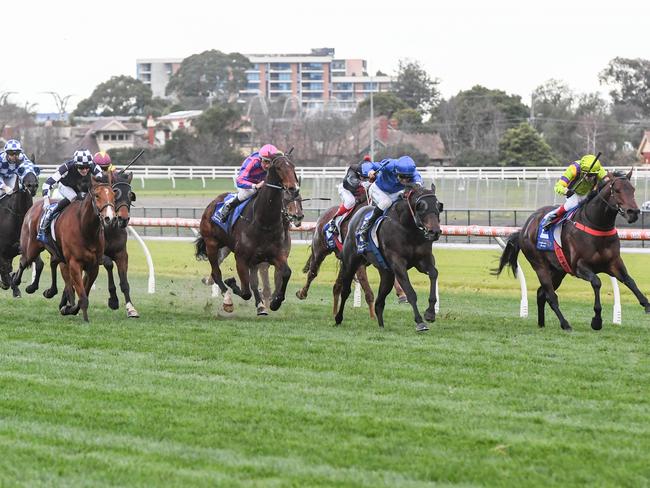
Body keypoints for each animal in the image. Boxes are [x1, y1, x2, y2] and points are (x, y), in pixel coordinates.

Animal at [13, 179, 117, 320]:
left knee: (52, 264)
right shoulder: (74, 263)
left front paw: (68, 308)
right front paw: (83, 318)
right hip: (31, 248)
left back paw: (48, 290)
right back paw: (16, 281)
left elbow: (83, 292)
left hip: (57, 253)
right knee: (24, 262)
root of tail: (34, 206)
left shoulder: (93, 266)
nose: (110, 218)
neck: (85, 229)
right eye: (97, 196)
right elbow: (81, 295)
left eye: (113, 195)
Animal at [195, 152, 298, 312]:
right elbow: (245, 292)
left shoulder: (276, 255)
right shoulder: (241, 258)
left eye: (293, 166)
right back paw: (228, 299)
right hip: (211, 244)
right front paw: (231, 283)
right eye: (279, 167)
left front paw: (275, 302)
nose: (294, 189)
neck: (264, 222)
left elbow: (286, 273)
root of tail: (213, 203)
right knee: (216, 273)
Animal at [334, 185, 440, 334]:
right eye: (421, 206)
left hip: (386, 273)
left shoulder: (423, 260)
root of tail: (357, 214)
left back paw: (381, 326)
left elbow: (434, 274)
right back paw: (338, 318)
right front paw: (420, 322)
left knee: (379, 302)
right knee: (345, 291)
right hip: (350, 262)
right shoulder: (398, 263)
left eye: (438, 206)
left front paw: (430, 313)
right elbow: (410, 292)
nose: (434, 232)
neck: (407, 227)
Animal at [494, 171, 644, 332]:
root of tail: (524, 228)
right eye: (617, 190)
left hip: (558, 271)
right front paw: (596, 320)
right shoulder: (579, 267)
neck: (596, 225)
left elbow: (630, 281)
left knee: (541, 293)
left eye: (633, 190)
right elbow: (596, 282)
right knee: (551, 297)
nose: (634, 212)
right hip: (540, 266)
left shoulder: (613, 263)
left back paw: (541, 324)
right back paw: (565, 324)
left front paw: (646, 305)